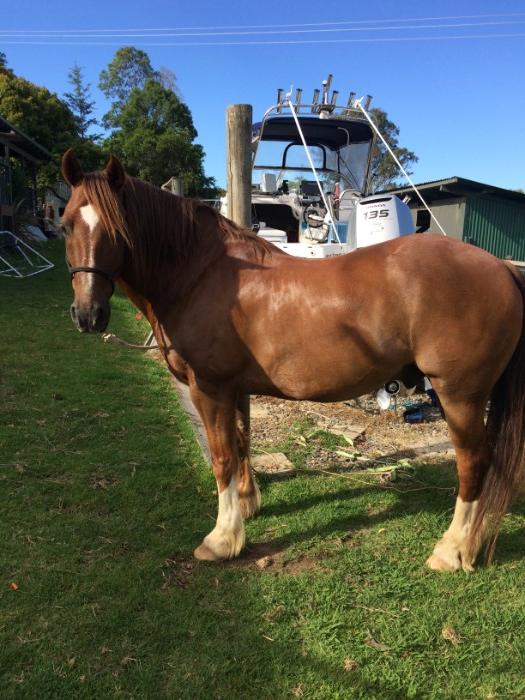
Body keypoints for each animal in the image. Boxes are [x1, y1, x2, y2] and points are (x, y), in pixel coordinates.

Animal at [60, 149, 525, 571]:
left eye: (117, 229)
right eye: (65, 224)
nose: (88, 315)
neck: (202, 274)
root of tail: (502, 267)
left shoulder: (208, 387)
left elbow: (222, 457)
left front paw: (222, 539)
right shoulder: (234, 388)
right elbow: (241, 444)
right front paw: (247, 506)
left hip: (458, 395)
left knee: (474, 463)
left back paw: (452, 551)